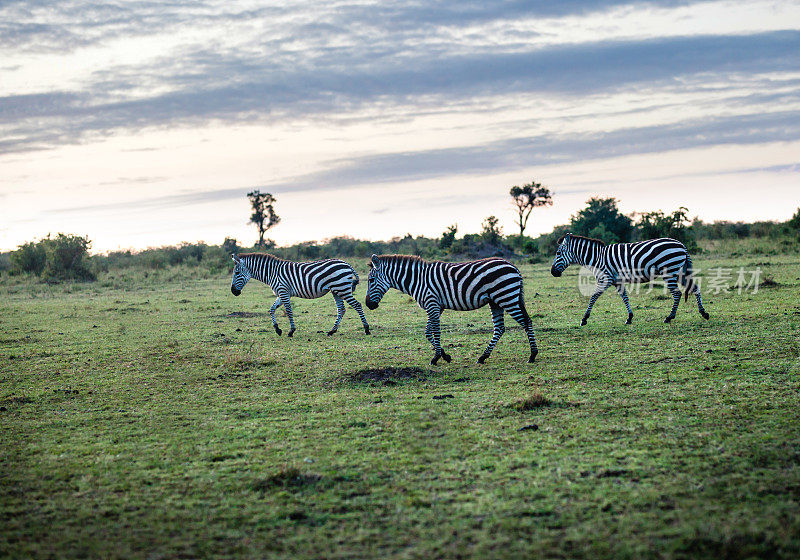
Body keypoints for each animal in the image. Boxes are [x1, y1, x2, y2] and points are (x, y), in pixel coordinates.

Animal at [230, 254, 370, 336]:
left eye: (236, 273)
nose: (233, 292)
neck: (272, 273)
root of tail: (347, 264)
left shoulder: (283, 292)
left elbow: (289, 311)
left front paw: (291, 331)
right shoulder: (281, 293)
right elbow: (271, 309)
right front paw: (277, 329)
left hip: (342, 288)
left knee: (357, 305)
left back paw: (366, 329)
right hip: (336, 290)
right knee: (341, 309)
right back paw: (332, 331)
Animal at [366, 255, 540, 368]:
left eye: (371, 280)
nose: (369, 304)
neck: (417, 280)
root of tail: (513, 266)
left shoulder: (432, 303)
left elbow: (435, 331)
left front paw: (436, 358)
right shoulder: (437, 306)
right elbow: (428, 332)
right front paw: (445, 355)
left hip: (506, 296)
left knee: (526, 322)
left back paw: (532, 355)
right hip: (496, 301)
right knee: (500, 328)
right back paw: (483, 357)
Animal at [552, 233, 712, 324]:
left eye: (558, 253)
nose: (553, 272)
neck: (597, 258)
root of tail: (682, 245)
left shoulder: (605, 279)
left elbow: (593, 297)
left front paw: (584, 319)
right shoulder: (617, 281)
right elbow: (624, 297)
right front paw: (629, 317)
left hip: (669, 270)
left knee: (677, 293)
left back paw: (669, 317)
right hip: (680, 271)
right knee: (695, 288)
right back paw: (704, 313)